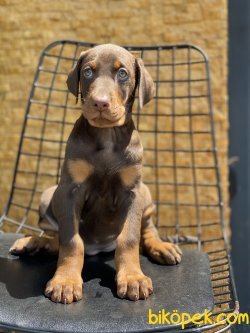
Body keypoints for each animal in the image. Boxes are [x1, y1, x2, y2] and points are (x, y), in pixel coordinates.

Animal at [10, 44, 182, 304]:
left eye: (122, 73)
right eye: (88, 72)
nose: (100, 103)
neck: (107, 135)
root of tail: (98, 248)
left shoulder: (133, 192)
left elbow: (129, 238)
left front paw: (132, 278)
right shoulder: (69, 190)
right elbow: (71, 241)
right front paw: (65, 281)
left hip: (146, 193)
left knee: (147, 229)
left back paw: (161, 246)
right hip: (50, 194)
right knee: (57, 240)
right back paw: (34, 243)